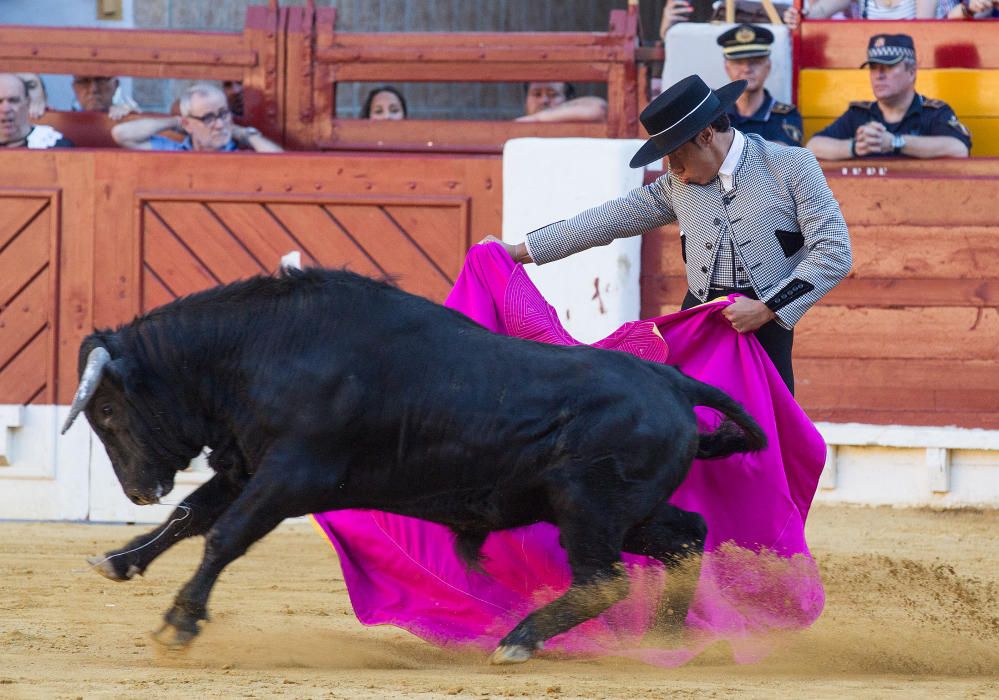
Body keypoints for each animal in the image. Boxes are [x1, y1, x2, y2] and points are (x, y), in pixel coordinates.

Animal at [64, 266, 764, 664]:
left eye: (108, 410)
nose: (138, 490)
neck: (265, 348)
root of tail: (672, 382)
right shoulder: (247, 468)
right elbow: (192, 515)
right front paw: (120, 560)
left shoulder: (290, 477)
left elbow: (224, 536)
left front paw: (178, 624)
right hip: (627, 513)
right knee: (687, 537)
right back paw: (664, 642)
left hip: (587, 510)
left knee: (605, 580)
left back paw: (518, 640)